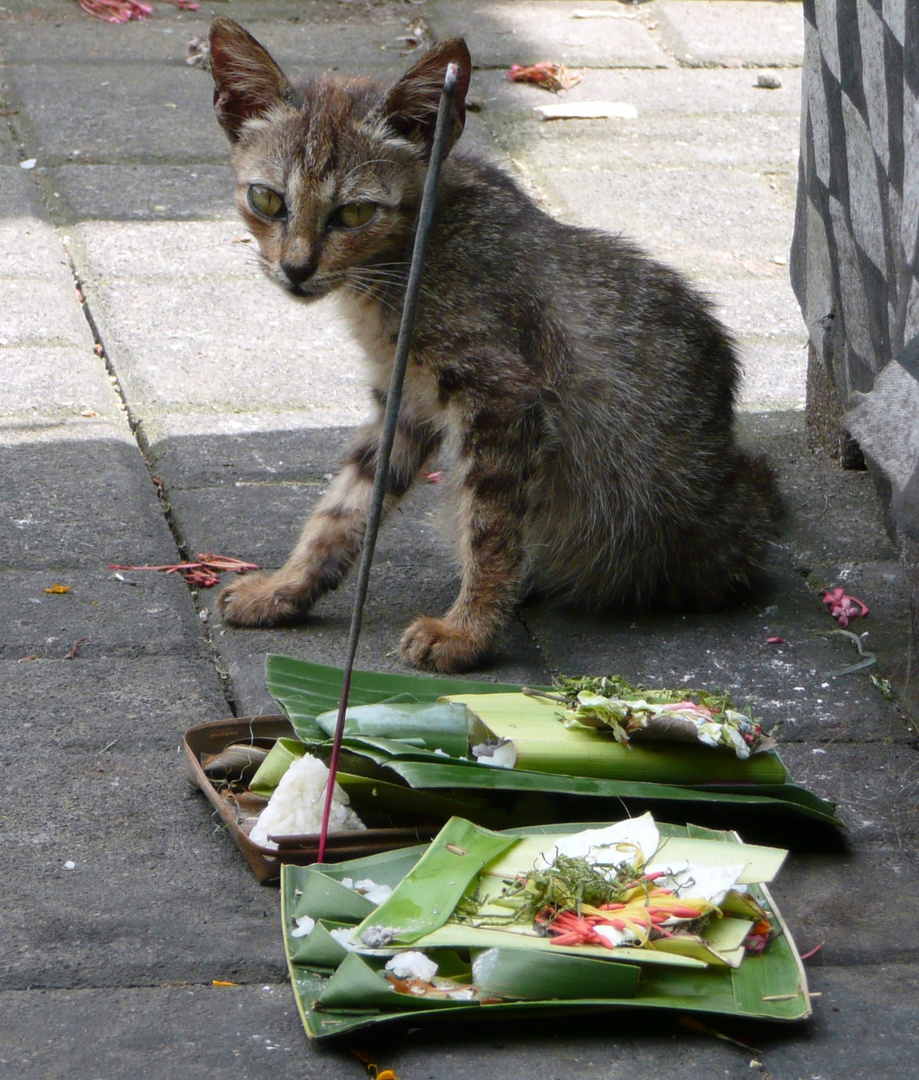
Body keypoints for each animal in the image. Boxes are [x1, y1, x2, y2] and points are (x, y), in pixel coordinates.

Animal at [210, 14, 781, 673]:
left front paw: (469, 632)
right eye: (267, 199)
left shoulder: (504, 396)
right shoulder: (404, 399)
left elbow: (491, 527)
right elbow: (346, 506)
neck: (404, 261)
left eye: (354, 213)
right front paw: (287, 588)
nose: (297, 269)